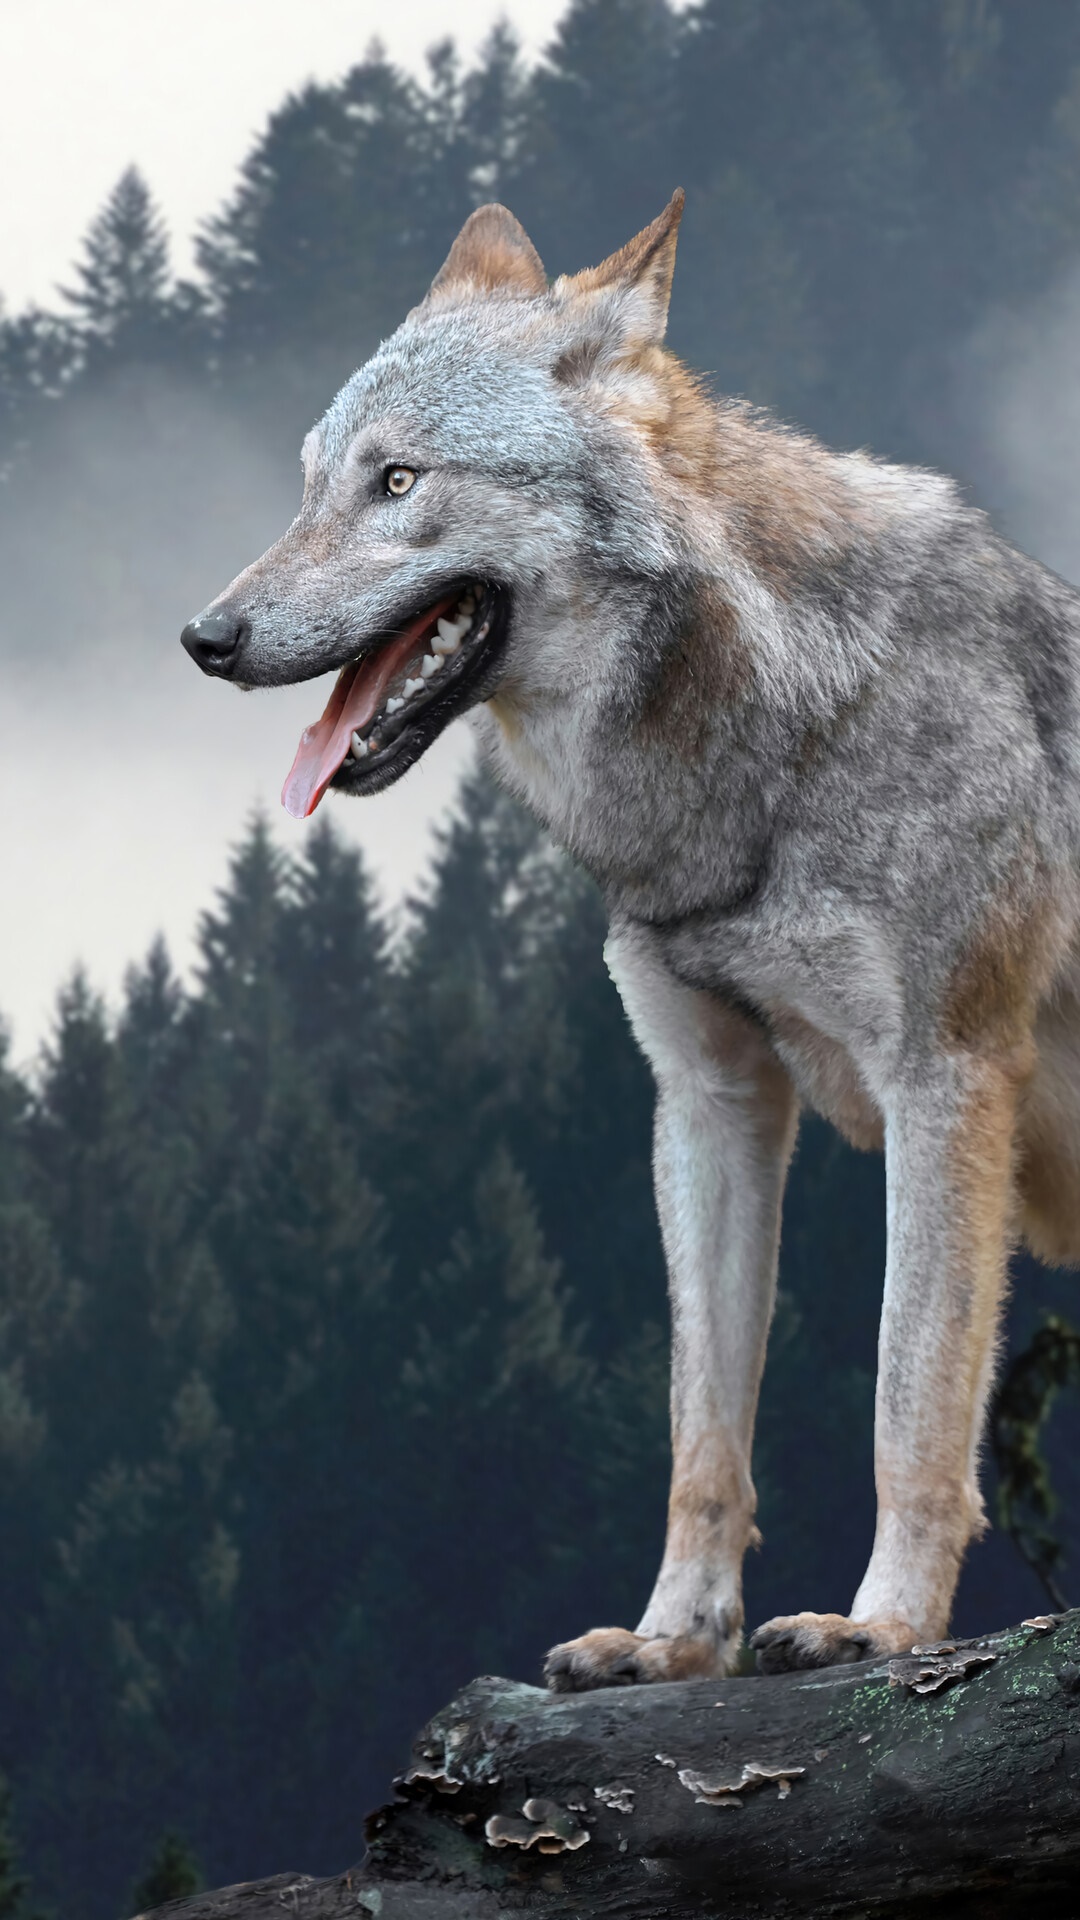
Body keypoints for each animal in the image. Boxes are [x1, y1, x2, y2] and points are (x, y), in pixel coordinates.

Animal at [181, 191, 1080, 1687]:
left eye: (399, 481)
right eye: (312, 484)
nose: (206, 635)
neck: (774, 740)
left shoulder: (946, 1084)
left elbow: (908, 1407)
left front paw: (883, 1625)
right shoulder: (710, 1099)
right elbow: (700, 1436)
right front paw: (672, 1641)